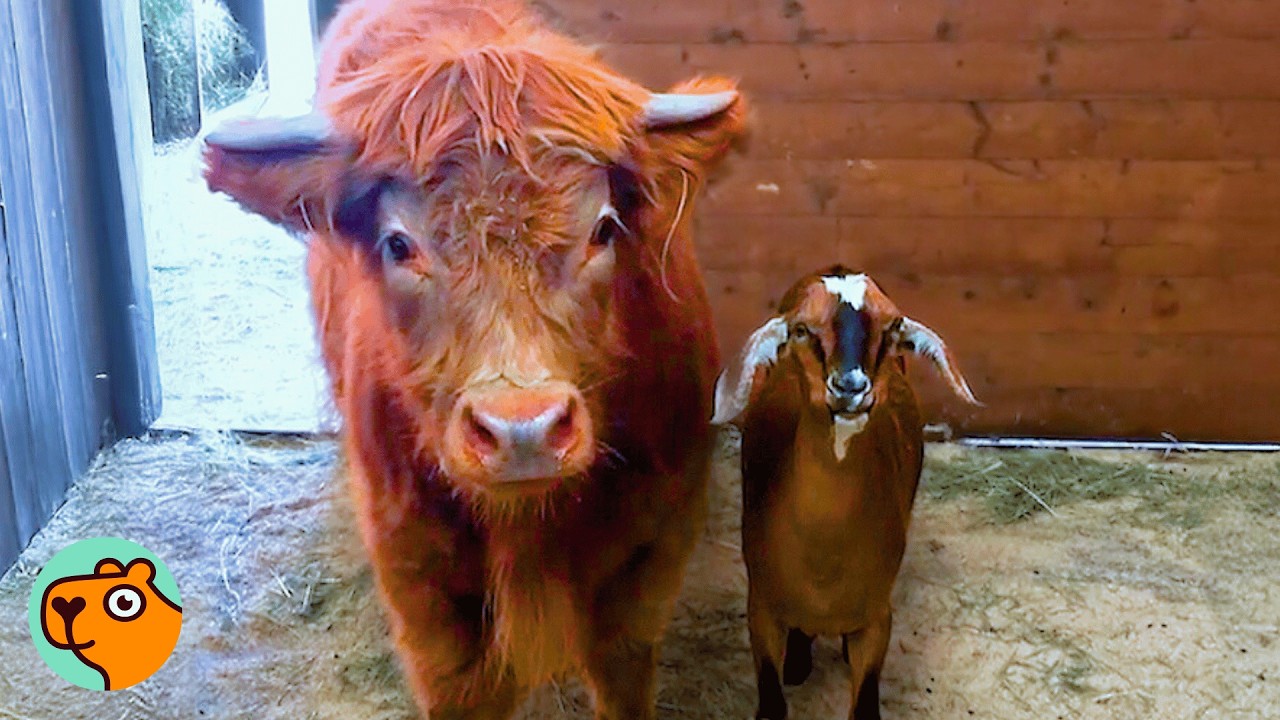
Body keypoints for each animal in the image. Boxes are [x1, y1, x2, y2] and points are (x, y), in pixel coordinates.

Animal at [712, 265, 980, 720]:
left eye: (892, 327)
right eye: (801, 329)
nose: (850, 387)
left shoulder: (876, 620)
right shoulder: (761, 610)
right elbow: (771, 702)